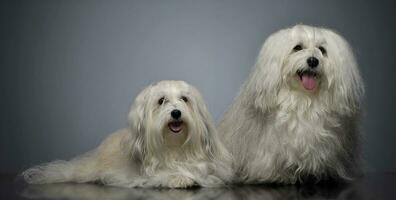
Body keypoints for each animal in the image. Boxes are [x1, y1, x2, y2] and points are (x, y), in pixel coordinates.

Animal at [22, 79, 232, 188]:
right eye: (161, 101)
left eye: (184, 99)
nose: (176, 113)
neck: (174, 147)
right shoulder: (144, 173)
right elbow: (160, 175)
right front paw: (179, 177)